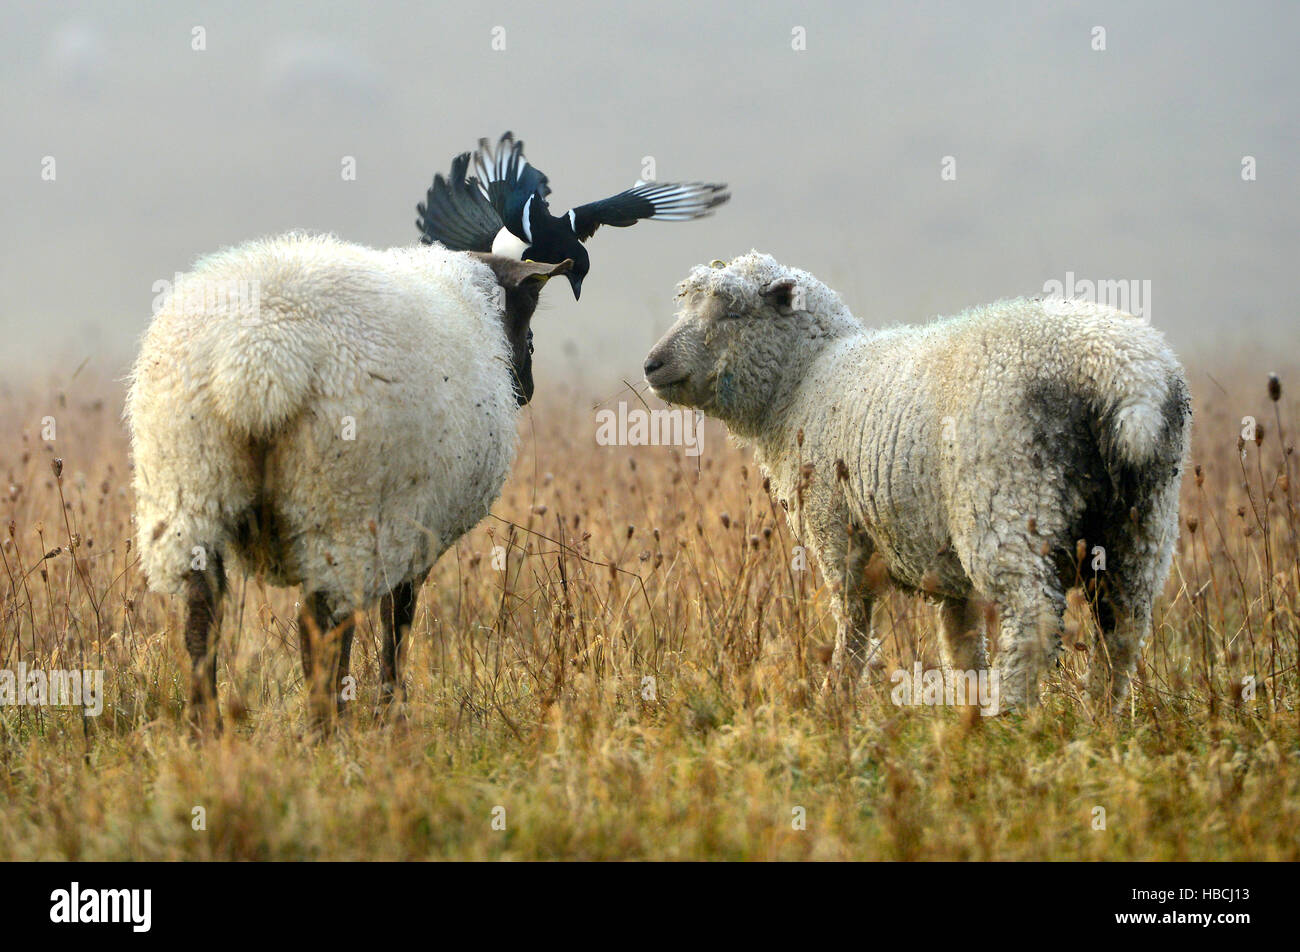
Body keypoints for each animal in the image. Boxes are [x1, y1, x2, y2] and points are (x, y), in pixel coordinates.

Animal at [126, 230, 569, 728]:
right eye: (526, 310)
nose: (527, 387)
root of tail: (258, 358)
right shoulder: (414, 529)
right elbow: (397, 617)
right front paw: (391, 709)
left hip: (189, 486)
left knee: (203, 612)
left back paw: (207, 727)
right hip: (340, 503)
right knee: (321, 624)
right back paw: (325, 725)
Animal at [644, 252, 1190, 712]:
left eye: (731, 312)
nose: (652, 365)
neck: (803, 380)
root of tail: (1125, 376)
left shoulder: (835, 527)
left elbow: (853, 623)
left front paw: (835, 699)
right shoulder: (944, 568)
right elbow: (962, 645)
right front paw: (965, 710)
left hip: (1008, 500)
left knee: (1033, 620)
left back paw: (1011, 718)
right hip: (1141, 522)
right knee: (1124, 626)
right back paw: (1102, 715)